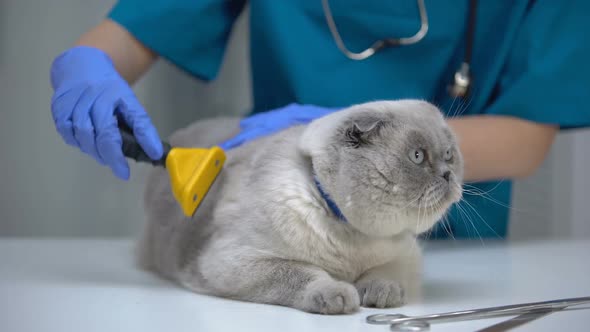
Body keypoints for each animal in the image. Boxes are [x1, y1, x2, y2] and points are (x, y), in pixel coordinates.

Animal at [141, 99, 464, 314]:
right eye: (418, 156)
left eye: (449, 155)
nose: (448, 174)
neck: (350, 235)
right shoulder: (235, 260)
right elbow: (303, 273)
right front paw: (339, 295)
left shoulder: (405, 254)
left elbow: (383, 272)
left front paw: (379, 293)